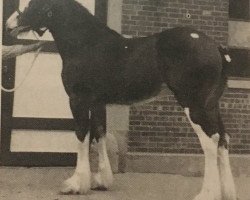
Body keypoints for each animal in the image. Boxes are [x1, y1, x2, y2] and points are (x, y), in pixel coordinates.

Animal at [5, 0, 236, 198]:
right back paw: (227, 193)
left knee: (210, 141)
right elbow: (99, 134)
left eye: (32, 3)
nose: (7, 25)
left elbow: (82, 136)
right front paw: (101, 181)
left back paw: (207, 194)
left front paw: (76, 184)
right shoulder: (98, 103)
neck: (87, 44)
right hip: (211, 105)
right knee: (223, 139)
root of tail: (216, 48)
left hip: (194, 105)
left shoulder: (78, 101)